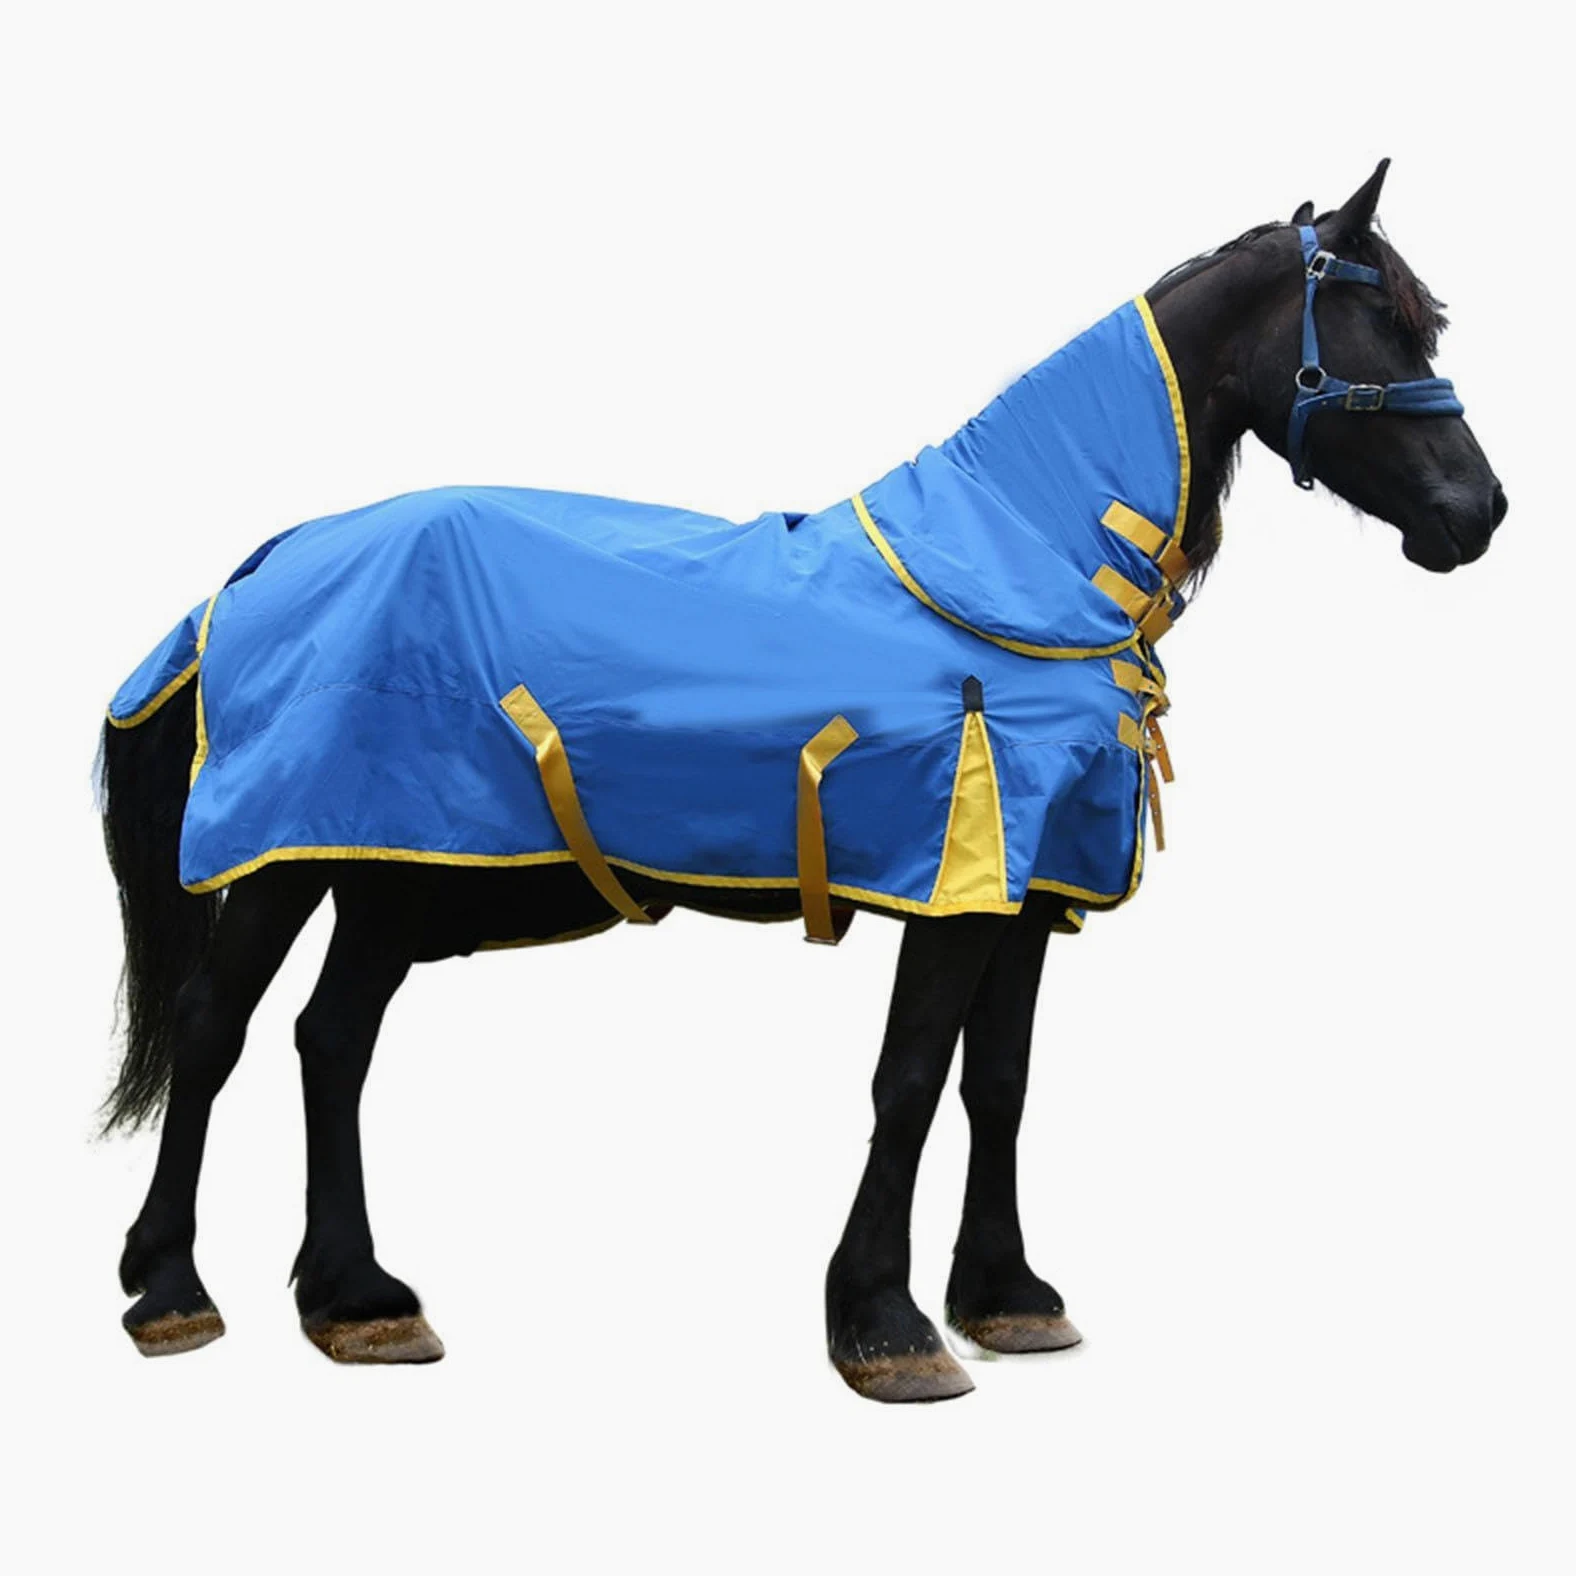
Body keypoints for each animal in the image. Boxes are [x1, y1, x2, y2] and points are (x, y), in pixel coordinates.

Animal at [98, 159, 1505, 1401]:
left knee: (332, 1040)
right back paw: (171, 1289)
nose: (1480, 513)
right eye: (1377, 322)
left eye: (1422, 319)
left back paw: (356, 1299)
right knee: (218, 1030)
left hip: (395, 863)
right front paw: (884, 1325)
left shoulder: (1030, 889)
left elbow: (999, 1082)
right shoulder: (954, 881)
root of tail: (266, 560)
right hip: (289, 857)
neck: (1018, 569)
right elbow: (911, 1078)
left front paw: (1006, 1294)